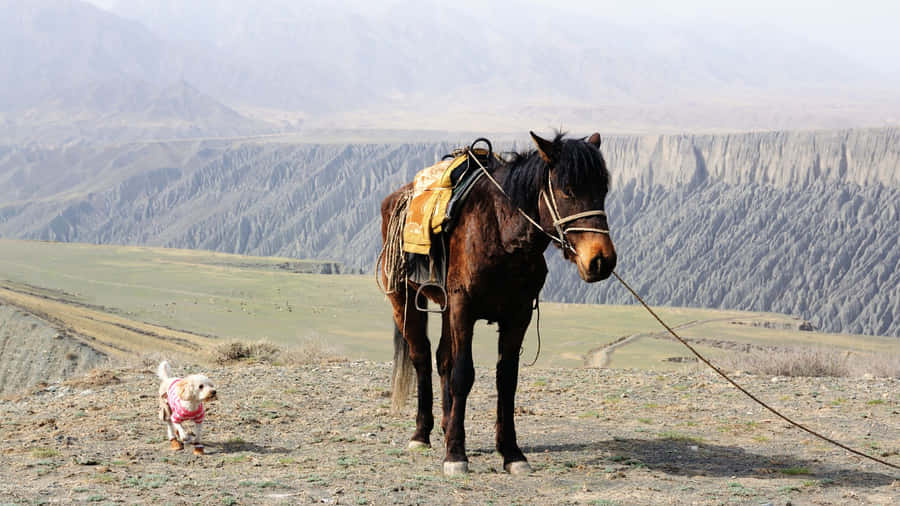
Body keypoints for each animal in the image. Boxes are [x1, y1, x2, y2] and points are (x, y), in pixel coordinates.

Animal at [378, 131, 616, 476]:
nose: (601, 261)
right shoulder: (464, 308)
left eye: (603, 191)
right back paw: (421, 434)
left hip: (445, 309)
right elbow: (463, 374)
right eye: (567, 189)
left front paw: (512, 453)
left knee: (442, 358)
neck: (502, 235)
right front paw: (455, 455)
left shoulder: (517, 316)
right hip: (404, 300)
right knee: (421, 357)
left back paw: (447, 424)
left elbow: (507, 380)